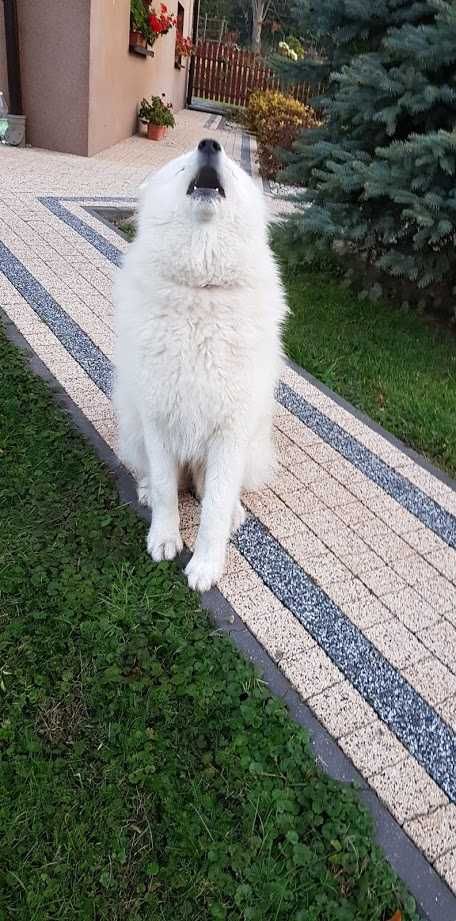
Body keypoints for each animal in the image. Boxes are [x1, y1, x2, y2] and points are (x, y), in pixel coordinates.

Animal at [112, 140, 286, 592]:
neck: (201, 290)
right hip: (133, 428)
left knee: (217, 491)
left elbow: (215, 510)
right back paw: (145, 489)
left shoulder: (229, 433)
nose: (209, 145)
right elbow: (166, 490)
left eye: (236, 171)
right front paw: (164, 539)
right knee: (158, 476)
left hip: (249, 445)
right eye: (180, 166)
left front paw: (206, 567)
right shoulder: (158, 422)